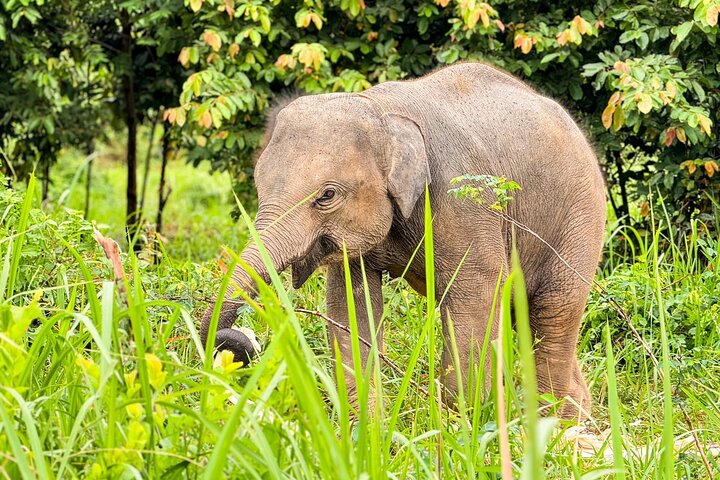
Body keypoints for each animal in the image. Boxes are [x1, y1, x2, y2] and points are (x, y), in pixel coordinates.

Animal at [199, 62, 606, 421]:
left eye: (326, 195)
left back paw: (555, 426)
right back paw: (576, 417)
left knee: (553, 311)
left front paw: (461, 426)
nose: (239, 340)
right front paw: (366, 425)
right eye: (257, 186)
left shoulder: (462, 198)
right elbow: (351, 304)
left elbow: (475, 294)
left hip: (579, 216)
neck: (380, 110)